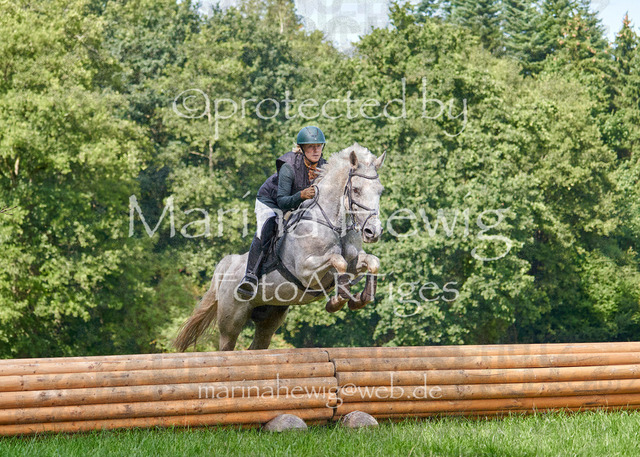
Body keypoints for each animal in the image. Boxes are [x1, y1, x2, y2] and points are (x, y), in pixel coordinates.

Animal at [173, 143, 386, 351]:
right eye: (356, 189)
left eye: (380, 191)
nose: (372, 232)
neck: (332, 223)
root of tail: (227, 267)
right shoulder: (306, 270)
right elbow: (338, 260)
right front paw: (336, 302)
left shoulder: (353, 261)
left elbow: (372, 262)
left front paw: (361, 298)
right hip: (231, 320)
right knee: (227, 346)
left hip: (270, 316)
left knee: (258, 344)